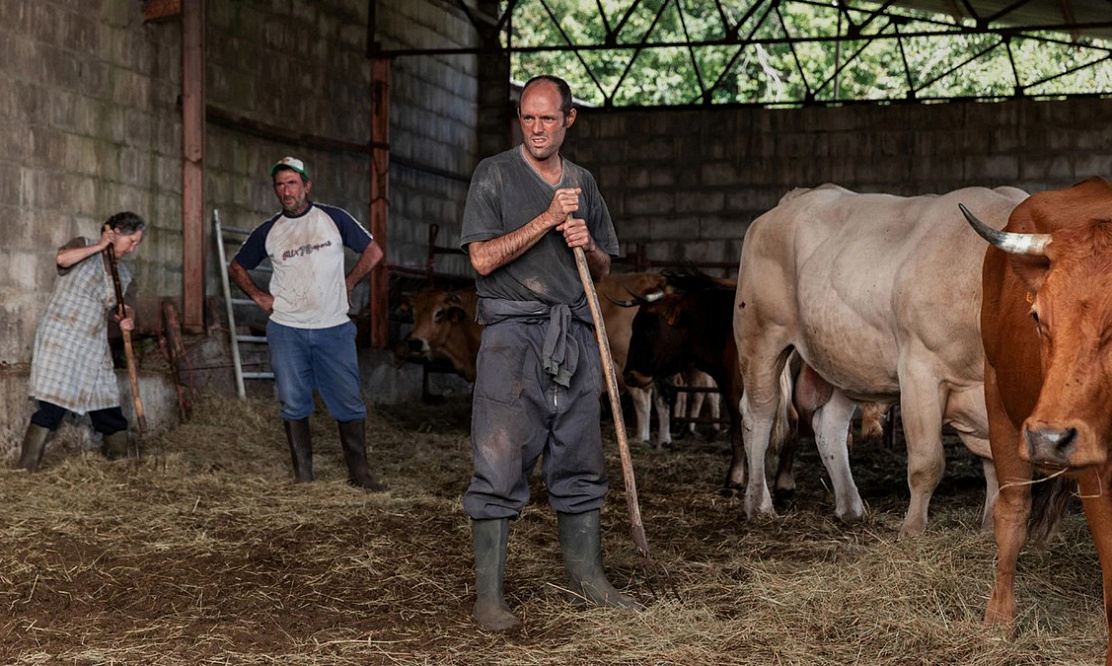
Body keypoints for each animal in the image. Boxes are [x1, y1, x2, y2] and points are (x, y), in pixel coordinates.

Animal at [960, 174, 1112, 662]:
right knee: (1012, 513)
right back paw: (998, 619)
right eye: (1037, 317)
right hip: (1000, 401)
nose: (1050, 438)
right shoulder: (1097, 477)